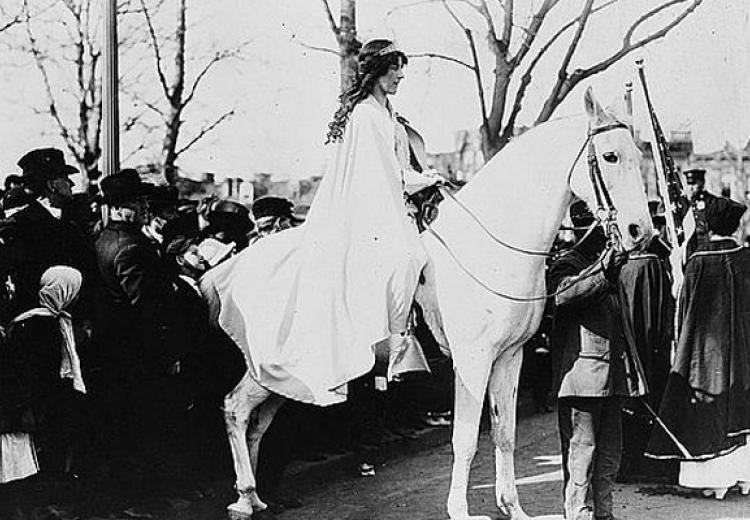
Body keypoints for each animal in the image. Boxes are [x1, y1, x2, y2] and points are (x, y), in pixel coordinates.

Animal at [213, 87, 652, 516]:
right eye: (611, 156)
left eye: (639, 155)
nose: (640, 232)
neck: (489, 250)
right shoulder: (472, 363)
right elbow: (467, 440)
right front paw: (459, 509)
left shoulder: (510, 357)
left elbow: (505, 434)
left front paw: (511, 507)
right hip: (271, 368)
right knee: (235, 408)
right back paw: (244, 496)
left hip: (287, 376)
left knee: (257, 421)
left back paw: (254, 497)